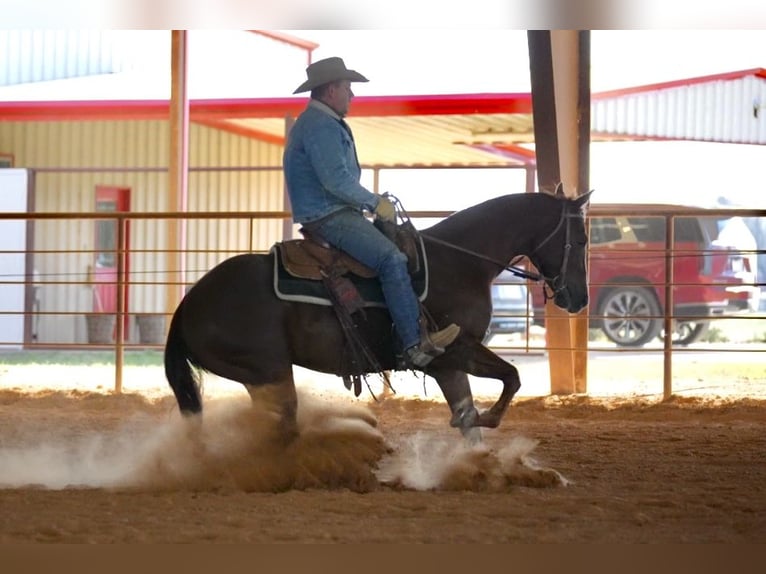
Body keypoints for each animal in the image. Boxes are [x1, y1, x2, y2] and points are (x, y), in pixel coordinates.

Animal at [165, 189, 592, 440]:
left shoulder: (448, 365)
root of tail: (188, 303)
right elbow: (511, 378)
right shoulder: (456, 350)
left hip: (261, 378)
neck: (459, 261)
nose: (579, 298)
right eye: (582, 238)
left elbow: (469, 413)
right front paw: (487, 422)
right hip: (268, 371)